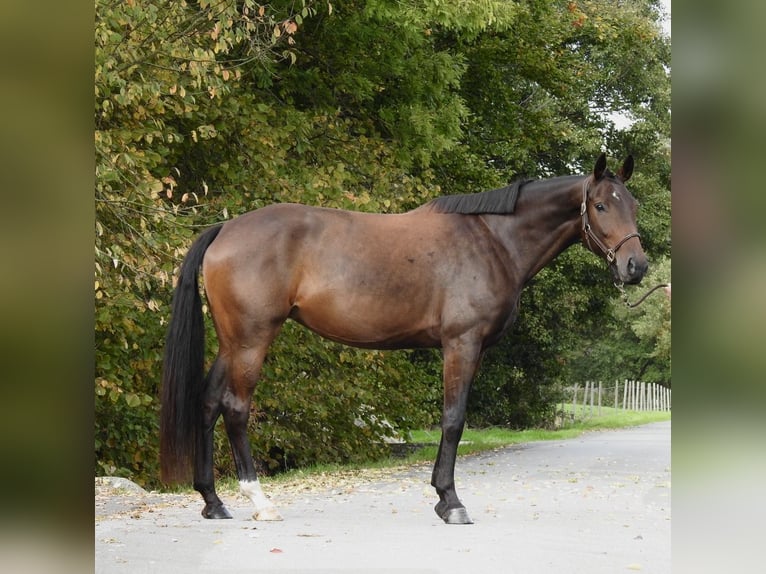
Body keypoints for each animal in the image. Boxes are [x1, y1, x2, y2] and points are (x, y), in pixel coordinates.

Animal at [160, 153, 647, 525]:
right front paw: (450, 502)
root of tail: (225, 229)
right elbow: (453, 420)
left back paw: (213, 502)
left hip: (231, 342)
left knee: (207, 402)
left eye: (635, 205)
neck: (493, 239)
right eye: (600, 206)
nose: (636, 267)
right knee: (235, 408)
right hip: (251, 340)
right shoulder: (461, 345)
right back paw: (260, 501)